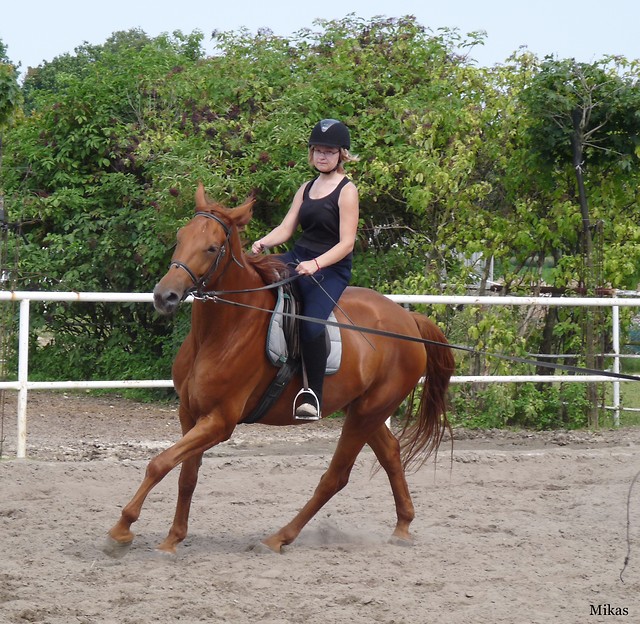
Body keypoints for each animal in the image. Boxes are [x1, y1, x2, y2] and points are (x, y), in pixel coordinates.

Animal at [105, 183, 456, 552]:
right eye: (180, 237)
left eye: (212, 247)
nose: (165, 296)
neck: (221, 332)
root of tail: (408, 320)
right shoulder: (189, 413)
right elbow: (186, 475)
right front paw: (173, 539)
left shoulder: (219, 421)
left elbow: (159, 463)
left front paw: (122, 530)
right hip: (363, 410)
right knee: (390, 454)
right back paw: (402, 526)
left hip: (367, 413)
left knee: (335, 477)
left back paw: (279, 537)